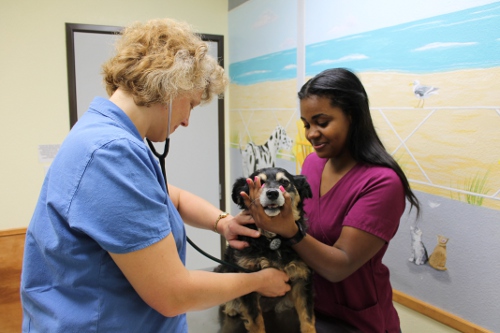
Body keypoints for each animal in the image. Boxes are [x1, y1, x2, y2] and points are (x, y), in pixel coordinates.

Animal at [215, 169, 316, 332]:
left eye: (285, 182)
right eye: (259, 182)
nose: (273, 193)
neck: (273, 239)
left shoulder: (302, 279)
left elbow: (307, 318)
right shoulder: (248, 279)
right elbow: (256, 322)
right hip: (223, 270)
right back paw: (232, 308)